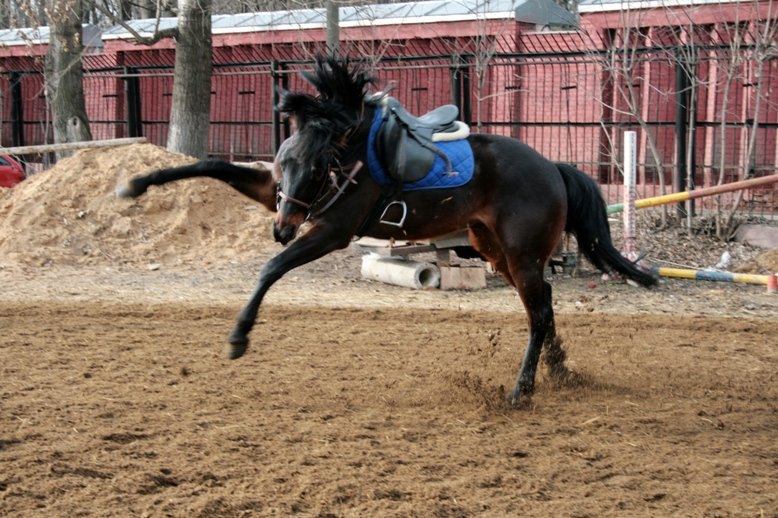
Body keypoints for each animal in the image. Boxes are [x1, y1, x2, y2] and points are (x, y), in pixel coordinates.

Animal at [119, 55, 656, 406]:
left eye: (319, 167)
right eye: (285, 160)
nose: (282, 227)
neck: (353, 144)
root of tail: (553, 168)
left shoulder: (331, 229)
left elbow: (271, 269)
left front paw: (238, 338)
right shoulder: (275, 192)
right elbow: (208, 165)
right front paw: (135, 183)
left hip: (520, 255)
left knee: (539, 312)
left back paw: (521, 391)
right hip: (495, 250)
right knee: (542, 303)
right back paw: (558, 368)